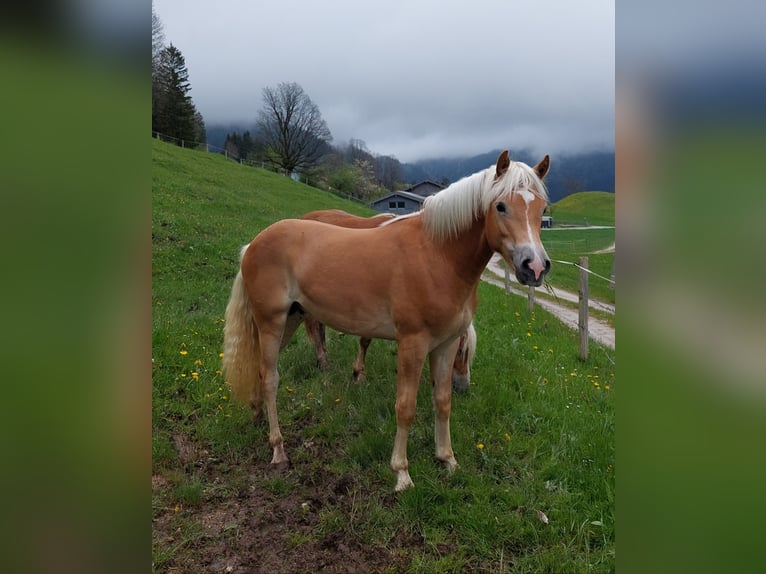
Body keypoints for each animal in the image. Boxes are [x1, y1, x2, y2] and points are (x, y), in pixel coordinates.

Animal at [222, 151, 552, 492]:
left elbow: (442, 401)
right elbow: (405, 408)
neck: (438, 255)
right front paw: (402, 473)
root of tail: (254, 244)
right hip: (271, 323)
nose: (535, 267)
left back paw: (257, 415)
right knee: (271, 378)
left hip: (288, 320)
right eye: (500, 206)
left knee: (260, 369)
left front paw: (447, 460)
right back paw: (278, 449)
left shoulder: (444, 344)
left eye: (543, 209)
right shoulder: (413, 344)